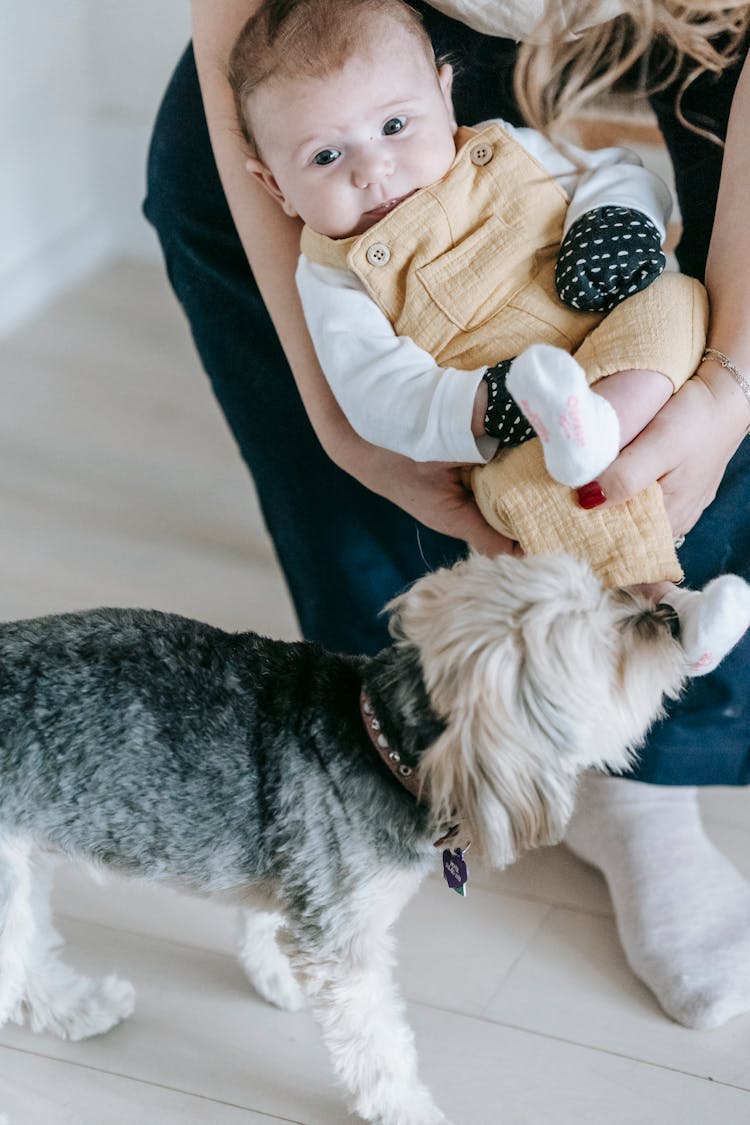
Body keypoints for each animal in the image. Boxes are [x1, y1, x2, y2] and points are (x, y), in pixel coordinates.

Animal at [0, 553, 692, 1125]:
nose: (669, 614)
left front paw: (274, 976)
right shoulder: (344, 938)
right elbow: (378, 1045)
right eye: (604, 649)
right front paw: (408, 1110)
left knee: (28, 962)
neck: (378, 738)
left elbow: (264, 922)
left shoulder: (300, 871)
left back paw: (80, 1008)